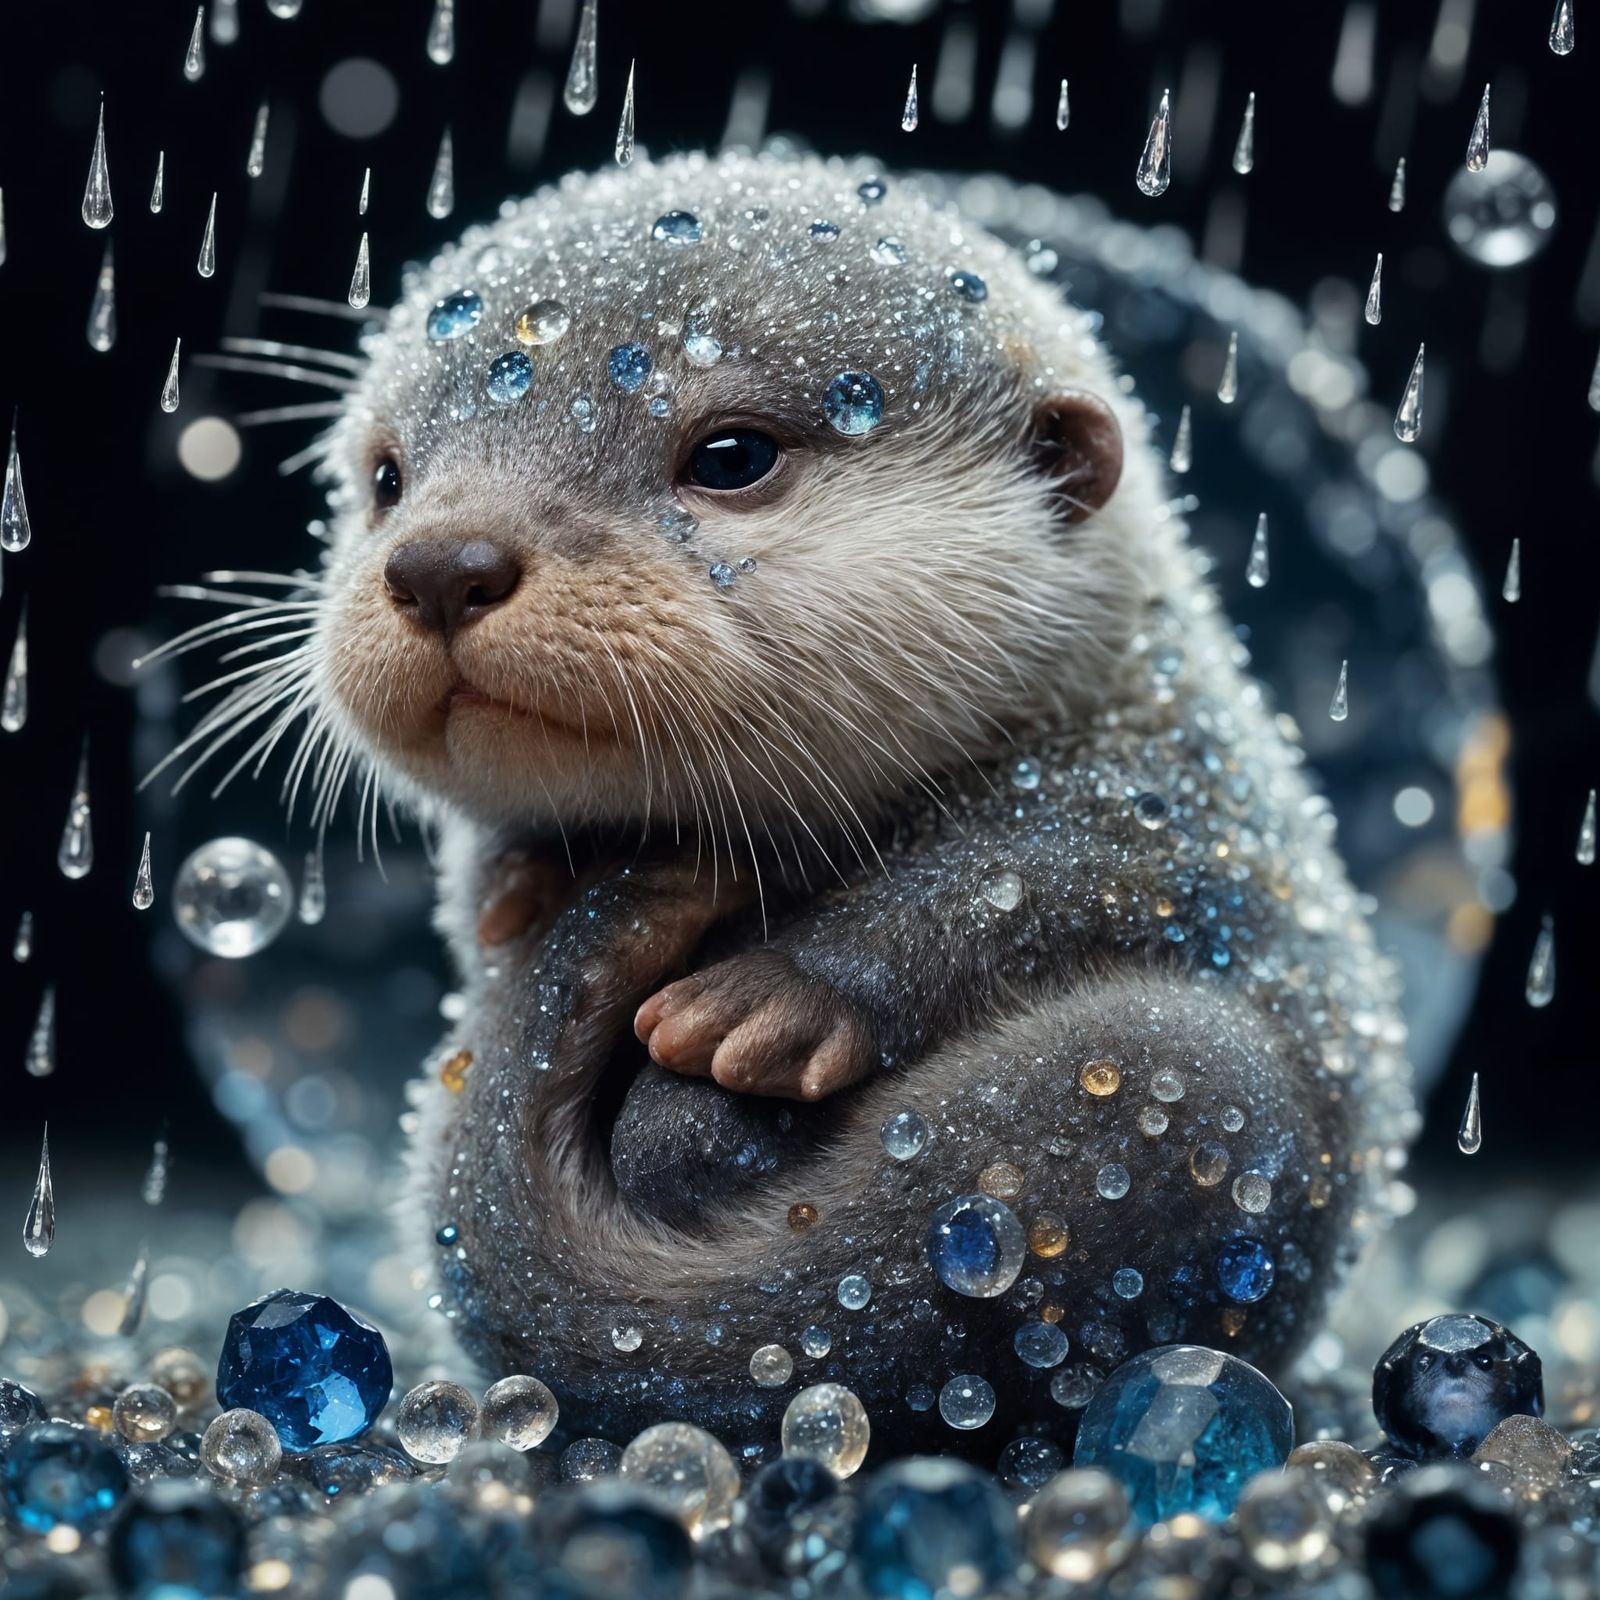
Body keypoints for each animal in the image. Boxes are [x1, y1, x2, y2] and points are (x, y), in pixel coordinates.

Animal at [265, 151, 1412, 1458]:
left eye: (729, 454)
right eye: (386, 478)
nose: (442, 560)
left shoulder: (1183, 806)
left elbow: (1033, 869)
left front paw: (763, 1007)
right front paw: (533, 886)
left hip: (1184, 1092)